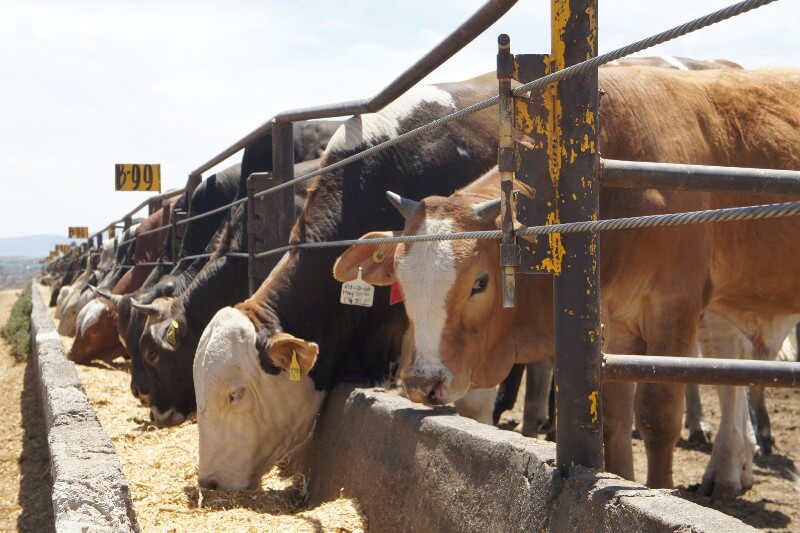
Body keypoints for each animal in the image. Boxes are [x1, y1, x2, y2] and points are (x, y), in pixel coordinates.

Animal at [334, 66, 800, 498]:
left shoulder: (675, 307)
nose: (422, 382)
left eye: (480, 283)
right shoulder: (616, 324)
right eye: (402, 283)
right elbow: (615, 421)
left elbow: (657, 415)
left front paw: (657, 488)